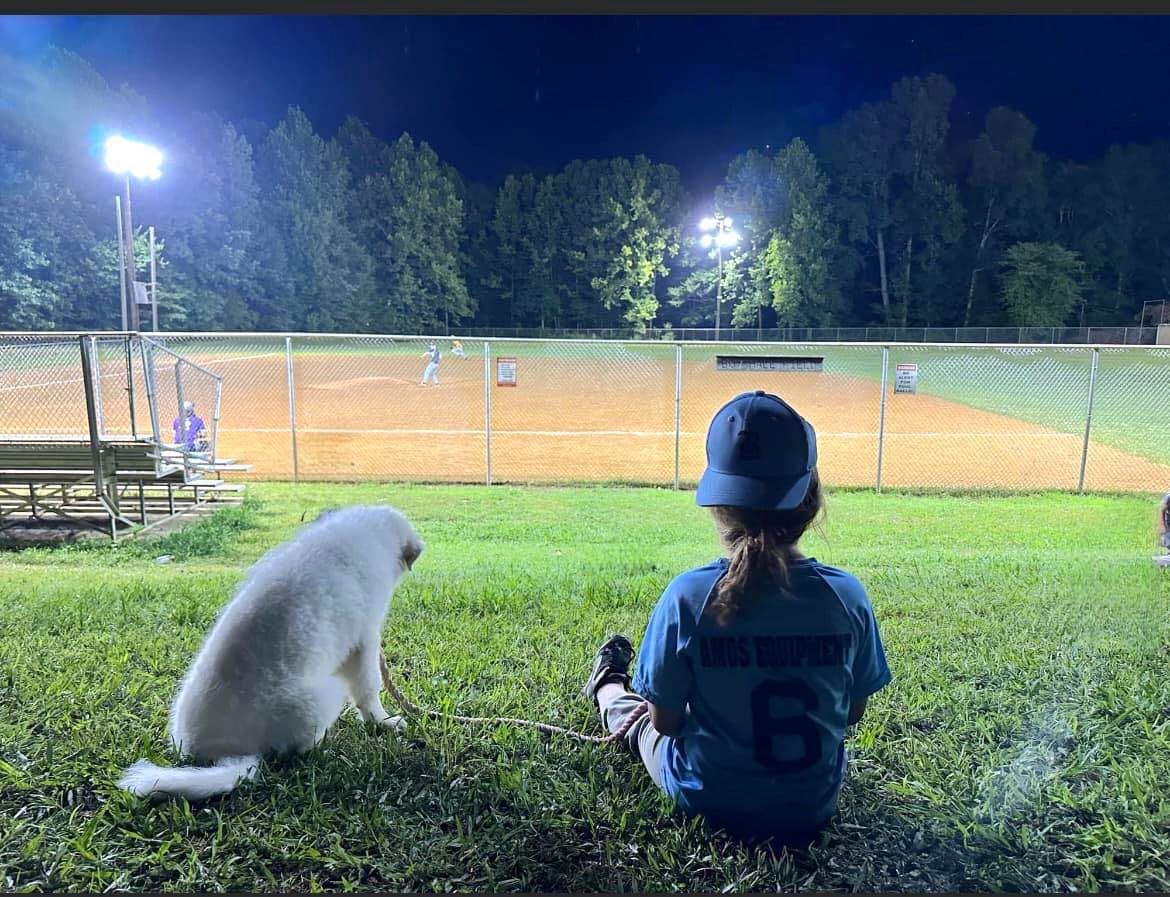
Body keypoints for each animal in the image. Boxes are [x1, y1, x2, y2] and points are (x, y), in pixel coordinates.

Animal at [114, 500, 423, 804]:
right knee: (301, 746)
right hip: (326, 695)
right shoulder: (365, 640)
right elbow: (368, 688)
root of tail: (229, 753)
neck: (364, 531)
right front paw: (384, 722)